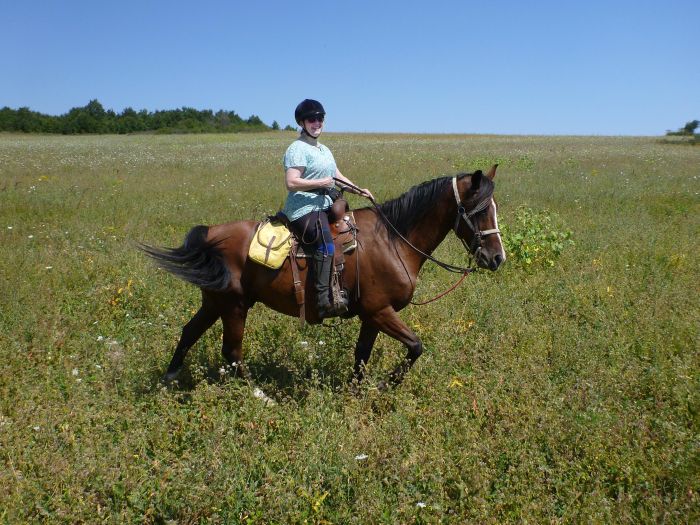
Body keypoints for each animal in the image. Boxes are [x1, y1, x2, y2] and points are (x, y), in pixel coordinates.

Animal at [141, 166, 504, 386]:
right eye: (479, 210)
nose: (497, 258)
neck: (393, 240)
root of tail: (212, 233)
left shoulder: (372, 316)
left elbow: (361, 356)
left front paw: (357, 392)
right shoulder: (380, 311)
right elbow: (416, 347)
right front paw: (384, 385)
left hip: (215, 301)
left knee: (190, 332)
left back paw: (169, 380)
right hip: (234, 305)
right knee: (231, 352)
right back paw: (261, 397)